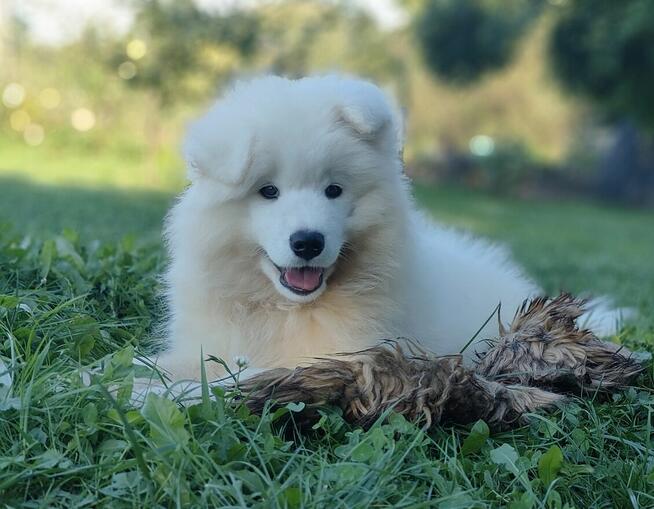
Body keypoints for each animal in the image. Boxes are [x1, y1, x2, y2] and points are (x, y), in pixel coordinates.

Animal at [158, 73, 624, 380]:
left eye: (334, 190)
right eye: (267, 191)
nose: (308, 242)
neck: (283, 309)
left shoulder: (335, 357)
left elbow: (234, 382)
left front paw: (161, 394)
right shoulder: (205, 342)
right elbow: (170, 366)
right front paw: (147, 379)